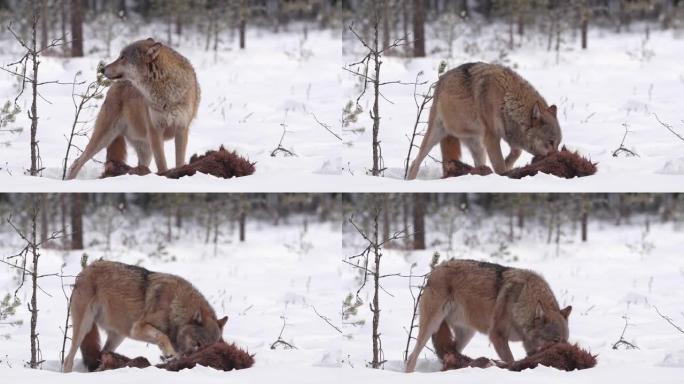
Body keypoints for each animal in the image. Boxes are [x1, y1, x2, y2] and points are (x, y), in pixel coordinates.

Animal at [61, 260, 227, 372]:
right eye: (198, 344)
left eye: (210, 347)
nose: (199, 361)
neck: (174, 307)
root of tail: (87, 267)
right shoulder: (138, 328)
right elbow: (162, 336)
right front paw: (170, 354)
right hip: (84, 328)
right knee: (68, 359)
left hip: (118, 336)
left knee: (101, 354)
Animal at [66, 38, 200, 179]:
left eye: (123, 57)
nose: (102, 69)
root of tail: (113, 87)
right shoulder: (155, 131)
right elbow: (162, 165)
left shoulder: (181, 129)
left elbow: (179, 162)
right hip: (105, 138)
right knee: (78, 161)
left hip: (145, 151)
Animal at [406, 62, 560, 180]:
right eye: (551, 142)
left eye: (558, 144)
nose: (557, 157)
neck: (506, 99)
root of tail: (441, 79)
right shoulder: (492, 138)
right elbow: (499, 165)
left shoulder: (510, 137)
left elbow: (516, 153)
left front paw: (508, 165)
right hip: (435, 134)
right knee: (414, 163)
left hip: (478, 148)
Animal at [406, 260, 572, 374]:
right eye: (555, 340)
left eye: (565, 340)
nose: (567, 352)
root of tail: (436, 269)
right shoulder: (496, 336)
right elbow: (511, 360)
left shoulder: (529, 346)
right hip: (431, 326)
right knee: (411, 358)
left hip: (466, 335)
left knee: (450, 353)